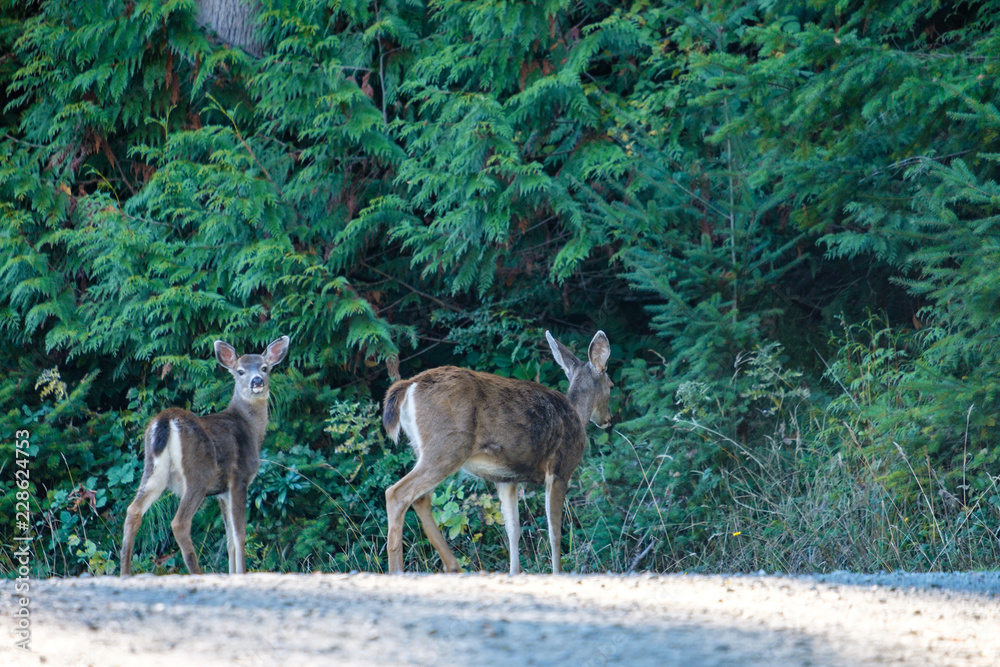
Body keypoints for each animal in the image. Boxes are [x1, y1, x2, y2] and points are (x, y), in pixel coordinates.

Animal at [120, 336, 290, 576]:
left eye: (265, 368)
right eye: (240, 371)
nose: (257, 381)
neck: (250, 429)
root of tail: (166, 419)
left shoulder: (221, 492)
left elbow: (228, 539)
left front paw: (232, 574)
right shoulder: (239, 479)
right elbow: (240, 535)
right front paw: (241, 573)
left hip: (152, 469)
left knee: (133, 510)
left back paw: (124, 572)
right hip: (198, 474)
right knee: (179, 523)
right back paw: (197, 572)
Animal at [382, 328, 612, 576]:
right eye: (611, 384)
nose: (608, 419)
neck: (577, 416)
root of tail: (408, 386)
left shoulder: (506, 480)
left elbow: (513, 530)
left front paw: (514, 572)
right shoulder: (560, 469)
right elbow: (555, 532)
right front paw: (557, 573)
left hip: (424, 449)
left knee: (421, 498)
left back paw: (452, 565)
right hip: (447, 446)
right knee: (396, 494)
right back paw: (398, 571)